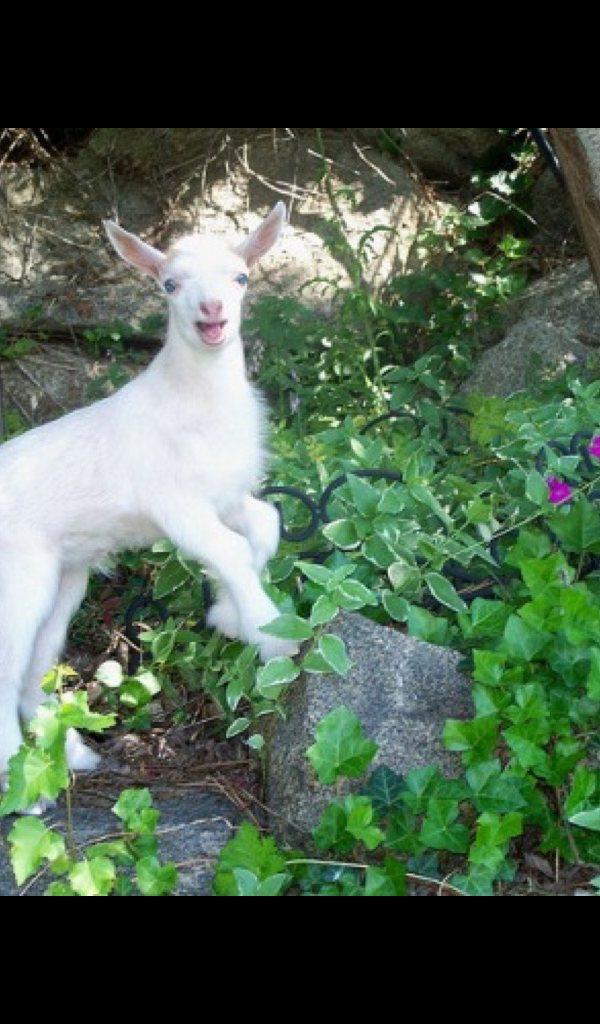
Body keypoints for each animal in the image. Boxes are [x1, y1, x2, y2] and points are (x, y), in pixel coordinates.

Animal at [0, 202, 296, 788]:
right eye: (169, 284)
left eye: (241, 277)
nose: (211, 311)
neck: (195, 402)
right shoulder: (176, 505)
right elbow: (231, 550)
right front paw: (273, 637)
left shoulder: (224, 495)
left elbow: (264, 528)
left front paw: (229, 615)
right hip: (16, 580)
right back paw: (23, 792)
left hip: (62, 581)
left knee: (29, 676)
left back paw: (72, 758)